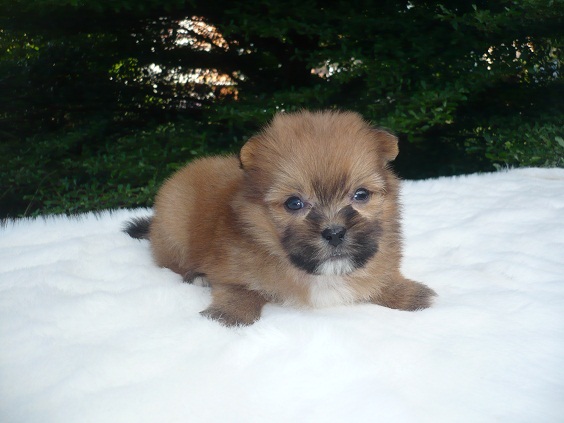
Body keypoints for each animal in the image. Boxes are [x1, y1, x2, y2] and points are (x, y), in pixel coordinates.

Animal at [124, 110, 436, 326]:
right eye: (294, 203)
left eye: (360, 195)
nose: (335, 232)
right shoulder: (232, 271)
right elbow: (240, 291)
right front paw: (228, 316)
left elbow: (382, 279)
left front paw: (408, 294)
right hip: (174, 228)